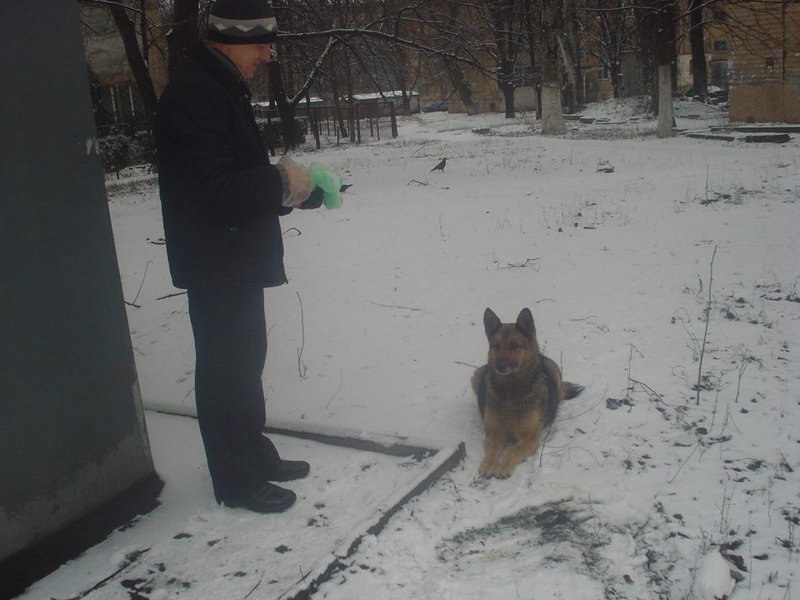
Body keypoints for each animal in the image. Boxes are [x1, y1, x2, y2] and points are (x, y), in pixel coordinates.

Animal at [472, 310, 584, 478]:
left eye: (514, 346)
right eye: (495, 346)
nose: (499, 366)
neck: (510, 391)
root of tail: (542, 356)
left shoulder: (529, 438)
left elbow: (512, 450)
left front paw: (503, 466)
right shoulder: (493, 433)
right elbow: (492, 451)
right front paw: (489, 464)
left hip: (554, 369)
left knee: (560, 394)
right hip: (477, 374)